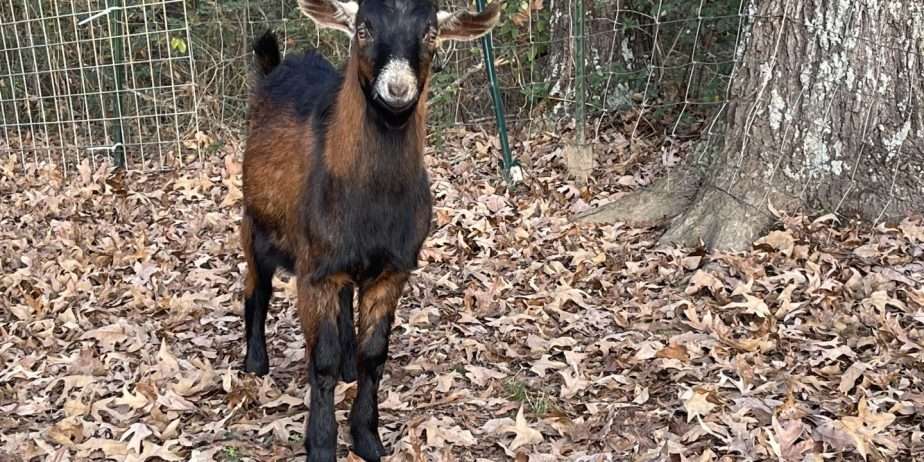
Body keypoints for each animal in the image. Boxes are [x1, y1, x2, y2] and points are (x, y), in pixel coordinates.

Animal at [239, 0, 500, 460]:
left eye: (431, 32)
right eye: (363, 28)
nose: (397, 88)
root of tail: (276, 68)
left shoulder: (392, 269)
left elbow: (374, 355)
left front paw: (367, 437)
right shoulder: (315, 270)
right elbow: (320, 361)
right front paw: (321, 445)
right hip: (254, 222)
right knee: (257, 286)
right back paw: (255, 363)